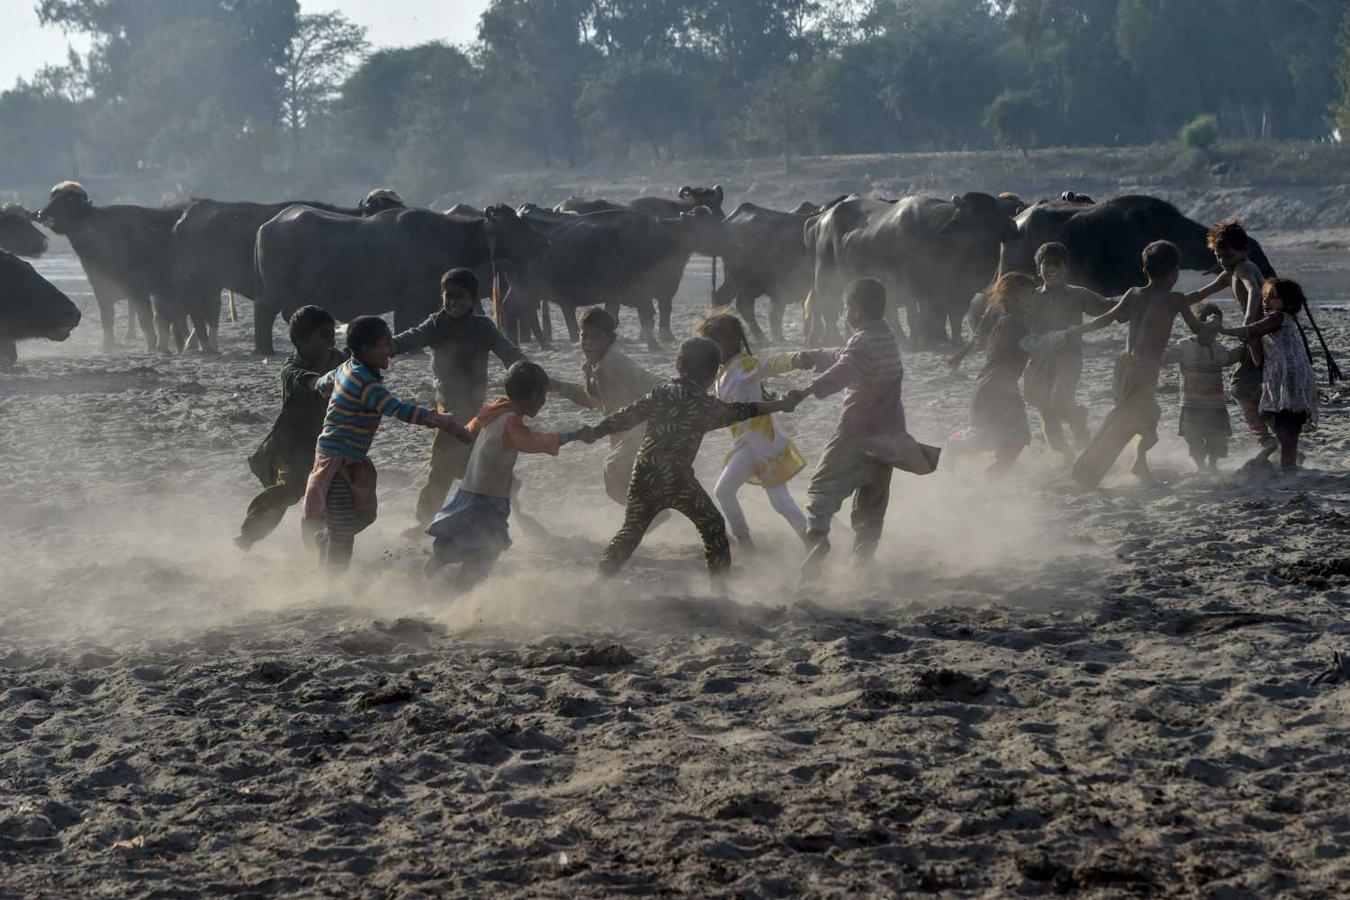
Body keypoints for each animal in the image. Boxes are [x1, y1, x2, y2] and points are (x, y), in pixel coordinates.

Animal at [35, 180, 187, 350]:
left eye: (68, 200)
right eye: (52, 198)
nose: (42, 214)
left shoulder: (139, 290)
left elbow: (145, 320)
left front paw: (150, 346)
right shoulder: (100, 287)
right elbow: (107, 319)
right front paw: (106, 347)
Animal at [253, 206, 548, 356]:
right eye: (515, 226)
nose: (544, 241)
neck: (447, 237)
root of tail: (267, 226)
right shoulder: (408, 300)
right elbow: (405, 323)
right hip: (277, 292)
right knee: (263, 311)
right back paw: (264, 348)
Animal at [804, 191, 1015, 345]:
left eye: (997, 210)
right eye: (979, 216)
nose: (1012, 227)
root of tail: (822, 218)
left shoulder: (961, 291)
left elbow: (954, 316)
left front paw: (949, 339)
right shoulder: (913, 289)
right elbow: (919, 315)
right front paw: (925, 337)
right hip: (826, 280)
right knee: (827, 309)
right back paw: (833, 338)